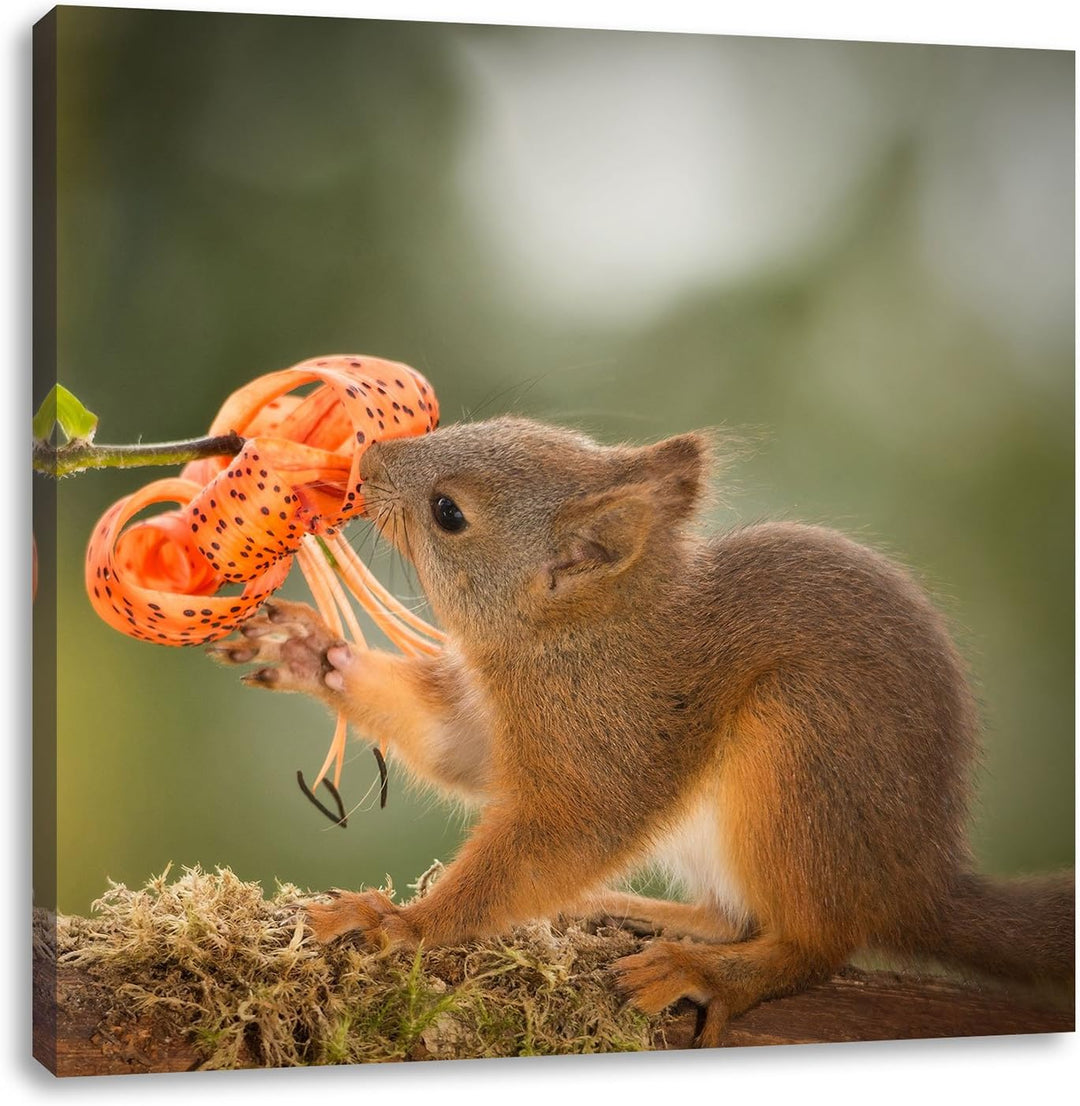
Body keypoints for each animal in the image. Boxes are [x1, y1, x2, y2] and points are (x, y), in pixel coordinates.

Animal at [217, 416, 1074, 1045]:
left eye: (448, 514)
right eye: (494, 422)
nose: (366, 458)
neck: (576, 637)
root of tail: (918, 884)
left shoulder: (608, 740)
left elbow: (557, 839)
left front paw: (401, 924)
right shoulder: (500, 727)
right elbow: (457, 750)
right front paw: (310, 652)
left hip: (803, 753)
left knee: (812, 944)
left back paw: (710, 972)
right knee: (733, 915)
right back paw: (636, 913)